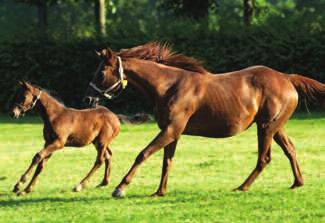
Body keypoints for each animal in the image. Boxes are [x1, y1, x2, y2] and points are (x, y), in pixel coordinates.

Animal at [84, 41, 324, 197]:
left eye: (101, 73)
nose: (88, 99)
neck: (169, 86)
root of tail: (286, 78)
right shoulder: (173, 132)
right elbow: (167, 161)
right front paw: (159, 191)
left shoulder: (171, 129)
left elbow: (143, 153)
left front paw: (120, 187)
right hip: (274, 126)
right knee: (290, 149)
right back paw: (297, 183)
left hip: (266, 127)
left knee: (264, 158)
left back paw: (242, 187)